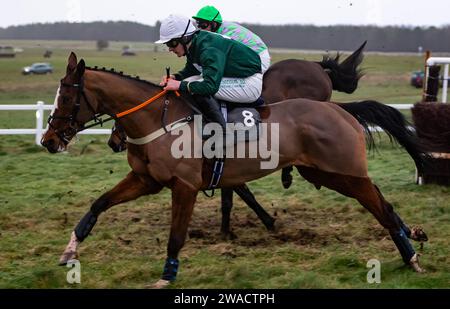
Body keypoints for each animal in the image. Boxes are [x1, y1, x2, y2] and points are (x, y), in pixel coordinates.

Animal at [41, 53, 426, 286]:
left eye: (67, 98)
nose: (48, 140)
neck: (158, 120)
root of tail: (340, 109)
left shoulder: (185, 186)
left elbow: (176, 236)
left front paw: (167, 276)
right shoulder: (145, 179)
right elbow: (98, 205)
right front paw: (70, 250)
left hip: (342, 172)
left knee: (381, 207)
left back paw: (411, 256)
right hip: (324, 173)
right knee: (381, 201)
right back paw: (412, 239)